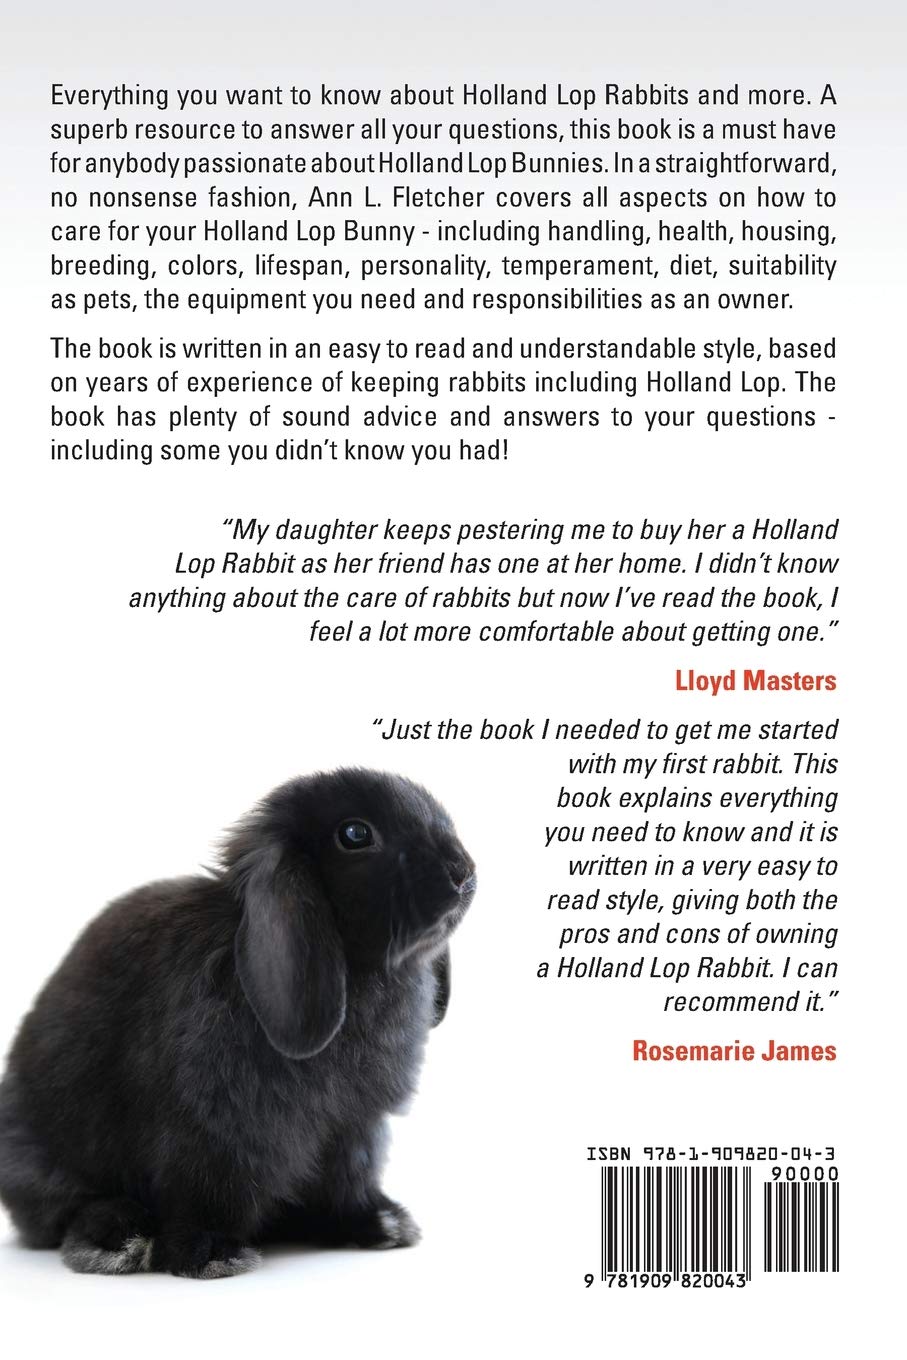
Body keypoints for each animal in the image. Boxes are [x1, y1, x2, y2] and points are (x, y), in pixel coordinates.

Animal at [0, 768, 476, 1279]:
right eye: (355, 834)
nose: (463, 873)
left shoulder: (354, 1125)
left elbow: (350, 1177)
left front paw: (379, 1224)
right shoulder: (213, 1129)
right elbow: (209, 1188)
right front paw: (210, 1254)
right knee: (67, 1206)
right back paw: (119, 1238)